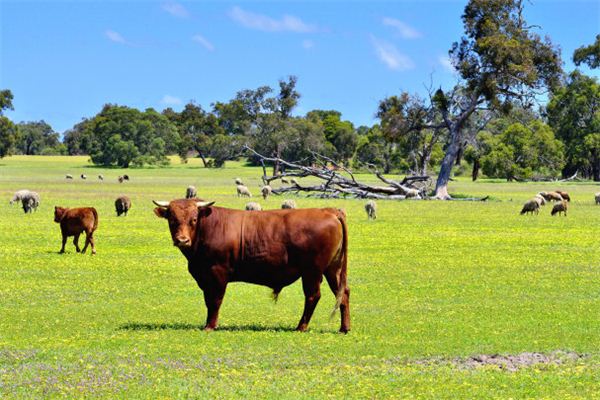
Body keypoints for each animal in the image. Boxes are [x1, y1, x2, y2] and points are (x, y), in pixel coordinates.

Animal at [155, 198, 350, 332]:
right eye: (172, 219)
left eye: (194, 219)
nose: (182, 240)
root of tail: (328, 211)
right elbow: (208, 300)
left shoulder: (217, 273)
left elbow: (215, 300)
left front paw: (210, 326)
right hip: (333, 268)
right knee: (343, 293)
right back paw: (344, 328)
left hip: (312, 271)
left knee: (313, 296)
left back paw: (301, 327)